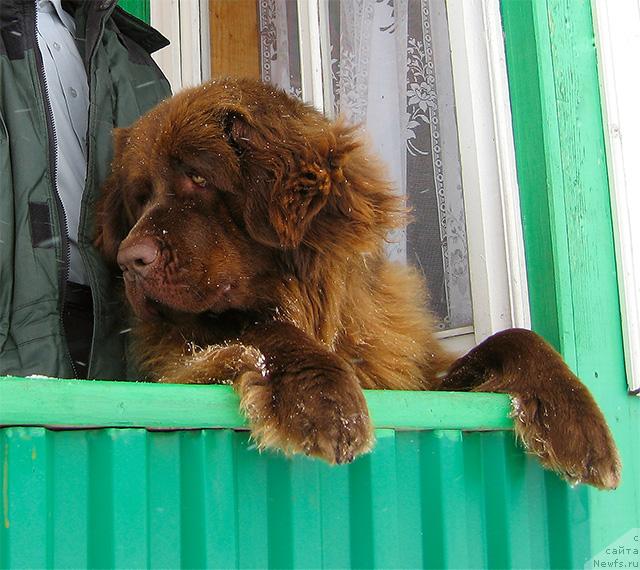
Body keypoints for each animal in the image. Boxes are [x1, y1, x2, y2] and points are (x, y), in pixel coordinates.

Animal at [95, 77, 620, 488]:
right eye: (139, 198)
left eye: (200, 179)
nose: (129, 260)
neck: (319, 311)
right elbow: (263, 329)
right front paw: (323, 397)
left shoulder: (413, 377)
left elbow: (514, 337)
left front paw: (576, 420)